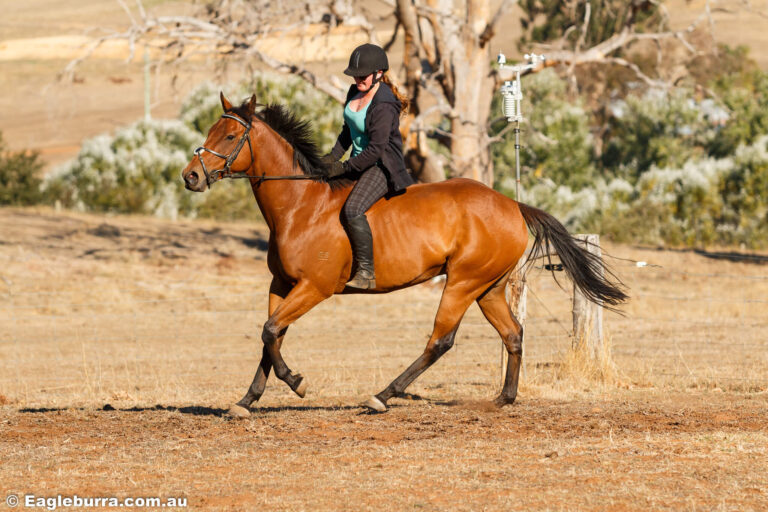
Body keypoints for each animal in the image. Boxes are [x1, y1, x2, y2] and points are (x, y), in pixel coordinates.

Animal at [183, 93, 628, 416]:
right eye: (211, 130)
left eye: (229, 137)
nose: (190, 176)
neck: (300, 204)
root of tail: (512, 205)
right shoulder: (282, 284)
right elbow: (270, 335)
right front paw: (246, 401)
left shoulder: (314, 287)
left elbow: (271, 330)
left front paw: (297, 383)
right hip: (488, 287)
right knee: (513, 334)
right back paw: (504, 398)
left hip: (463, 283)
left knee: (440, 340)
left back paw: (382, 396)